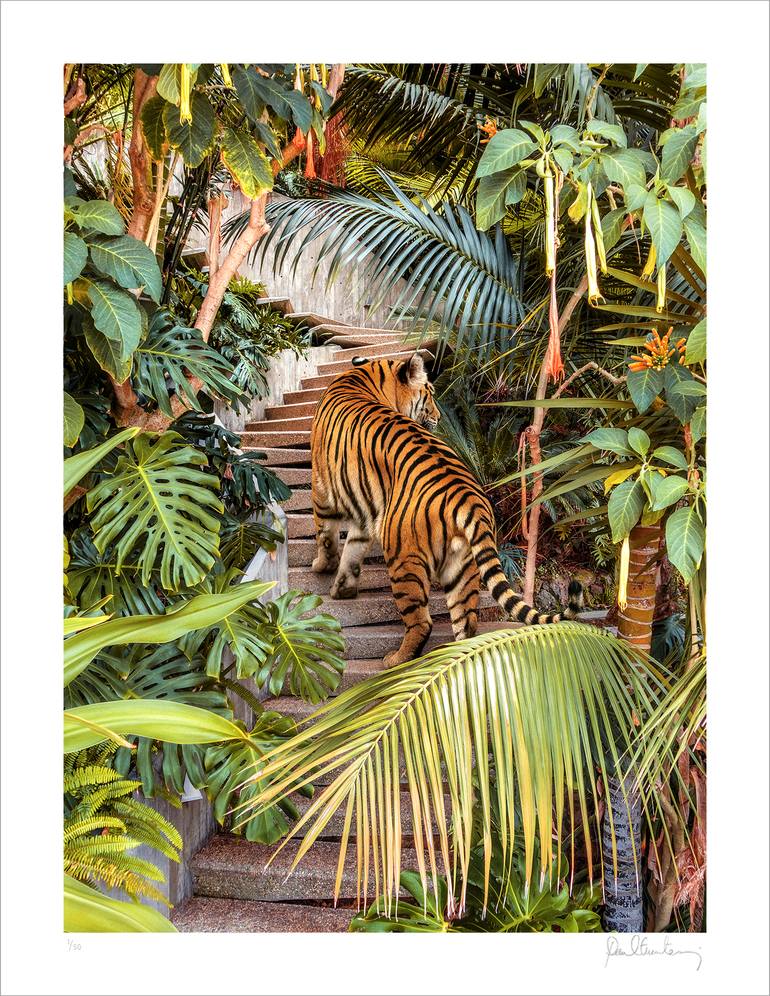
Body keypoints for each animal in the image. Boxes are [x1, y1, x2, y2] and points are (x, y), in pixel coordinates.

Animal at [310, 353, 583, 666]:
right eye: (430, 393)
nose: (439, 417)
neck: (366, 376)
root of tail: (469, 499)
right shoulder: (363, 511)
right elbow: (352, 551)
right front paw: (342, 588)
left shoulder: (321, 489)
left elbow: (327, 538)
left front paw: (322, 567)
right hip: (462, 568)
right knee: (467, 624)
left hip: (404, 559)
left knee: (421, 622)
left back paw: (396, 659)